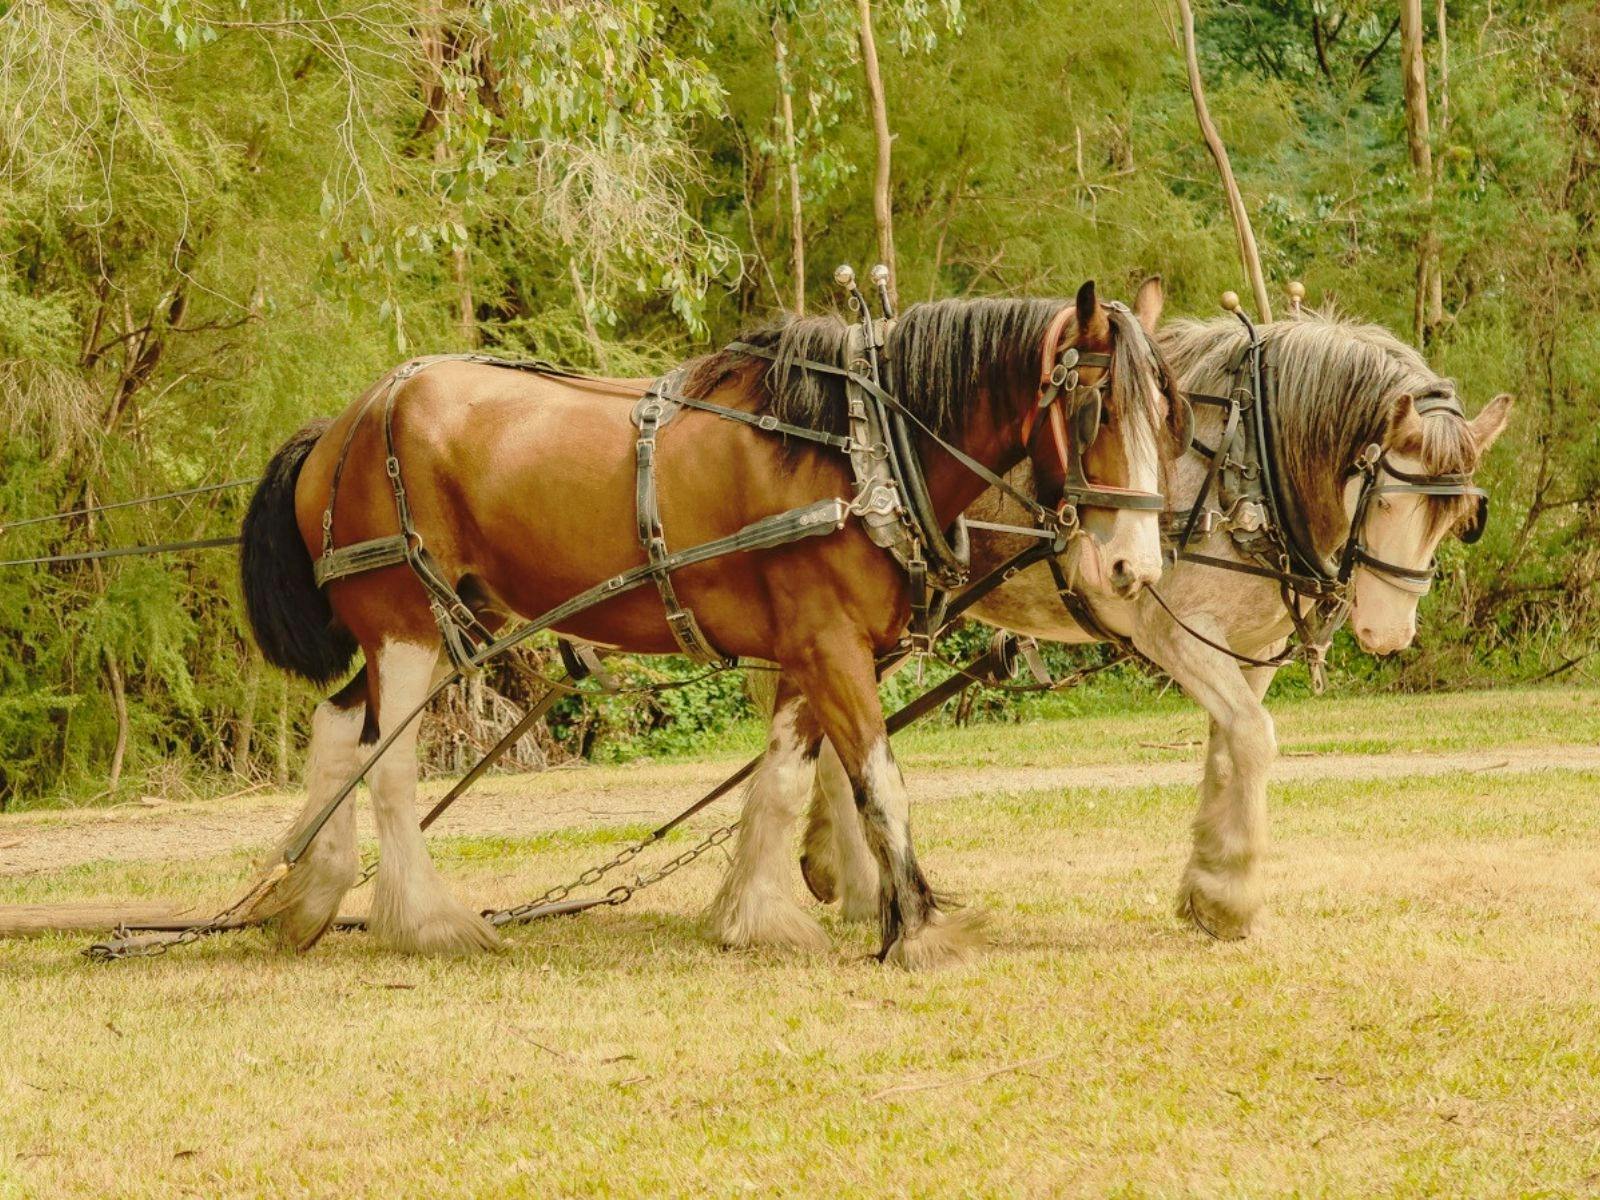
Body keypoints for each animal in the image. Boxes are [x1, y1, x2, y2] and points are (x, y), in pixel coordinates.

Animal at [237, 280, 1187, 962]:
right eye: (1098, 409)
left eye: (1170, 418)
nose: (1135, 568)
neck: (860, 450)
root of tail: (347, 422)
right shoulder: (830, 645)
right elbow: (879, 780)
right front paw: (917, 927)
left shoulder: (812, 650)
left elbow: (781, 782)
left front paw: (753, 918)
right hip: (404, 622)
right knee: (391, 770)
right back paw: (428, 922)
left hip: (444, 619)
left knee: (340, 730)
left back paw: (307, 895)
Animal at [716, 305, 1512, 948]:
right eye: (1385, 498)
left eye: (1457, 516)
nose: (1389, 634)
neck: (1241, 459)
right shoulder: (1173, 633)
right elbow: (1255, 739)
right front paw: (1230, 895)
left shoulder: (1247, 650)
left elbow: (1230, 748)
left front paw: (1209, 886)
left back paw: (844, 877)